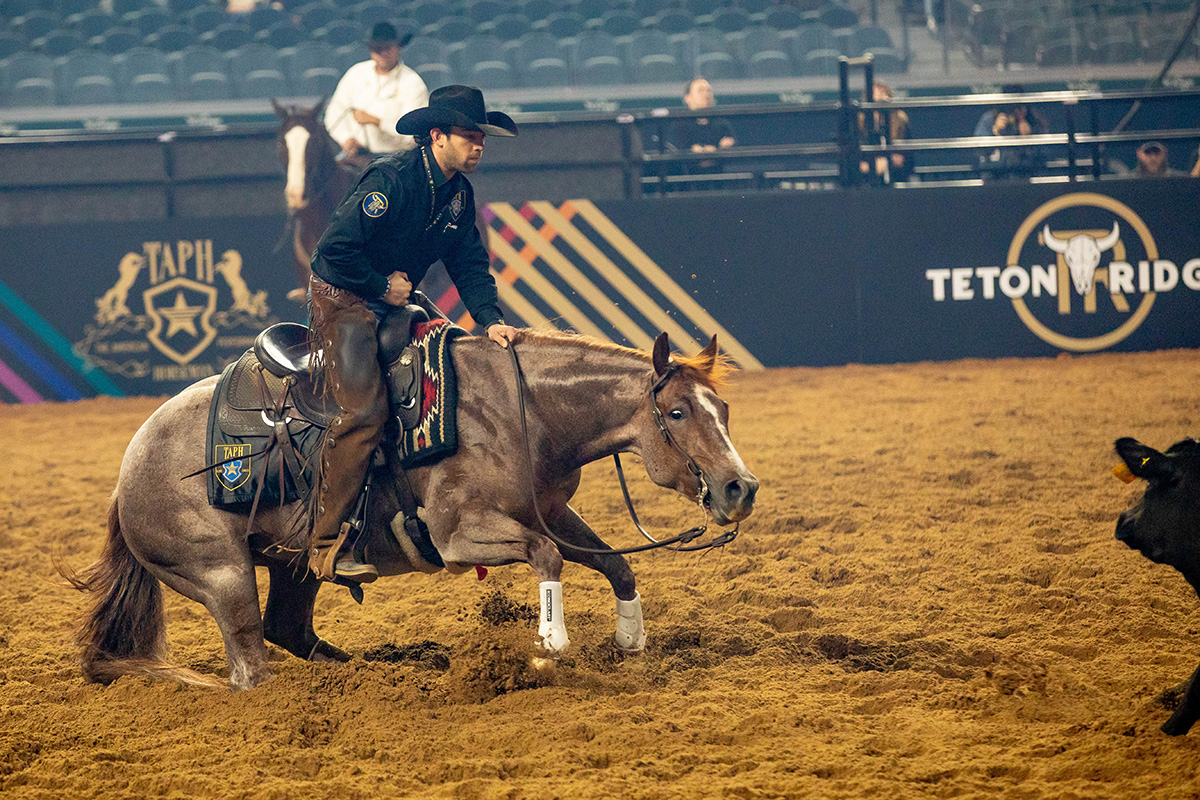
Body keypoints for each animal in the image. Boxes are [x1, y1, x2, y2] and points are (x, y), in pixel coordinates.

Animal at [68, 328, 758, 690]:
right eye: (677, 413)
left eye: (723, 408)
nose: (739, 489)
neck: (521, 409)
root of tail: (126, 475)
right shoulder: (459, 534)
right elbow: (547, 557)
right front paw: (550, 642)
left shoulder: (547, 510)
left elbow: (614, 562)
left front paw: (629, 638)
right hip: (222, 574)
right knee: (250, 666)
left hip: (295, 564)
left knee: (287, 630)